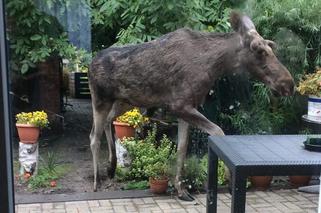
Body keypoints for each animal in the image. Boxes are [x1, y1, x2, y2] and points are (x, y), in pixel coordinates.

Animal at [87, 11, 292, 201]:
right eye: (259, 51)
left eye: (270, 47)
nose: (288, 83)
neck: (214, 66)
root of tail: (90, 64)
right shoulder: (179, 106)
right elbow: (218, 131)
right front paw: (228, 179)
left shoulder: (187, 108)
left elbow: (182, 147)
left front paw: (181, 190)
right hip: (100, 100)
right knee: (93, 136)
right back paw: (97, 181)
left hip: (123, 101)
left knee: (107, 123)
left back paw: (111, 167)